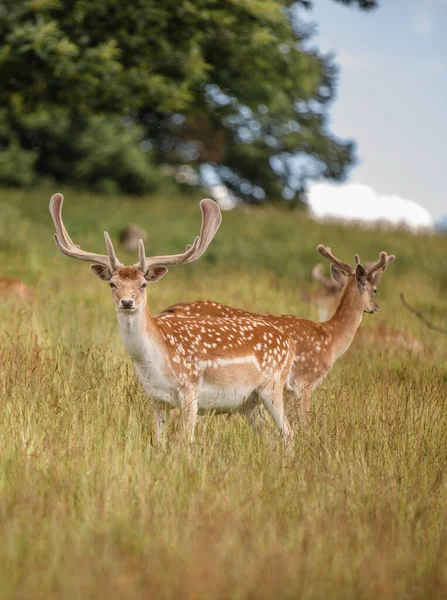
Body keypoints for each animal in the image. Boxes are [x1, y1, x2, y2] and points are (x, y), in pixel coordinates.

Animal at [49, 195, 296, 442]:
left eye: (143, 284)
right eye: (112, 284)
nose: (127, 302)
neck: (155, 361)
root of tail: (289, 342)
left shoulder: (190, 388)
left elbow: (186, 440)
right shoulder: (155, 398)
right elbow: (160, 440)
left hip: (272, 386)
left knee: (288, 433)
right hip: (248, 403)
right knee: (271, 436)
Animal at [160, 246, 396, 424]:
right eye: (375, 289)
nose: (375, 307)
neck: (331, 338)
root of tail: (168, 311)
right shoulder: (304, 380)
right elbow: (304, 421)